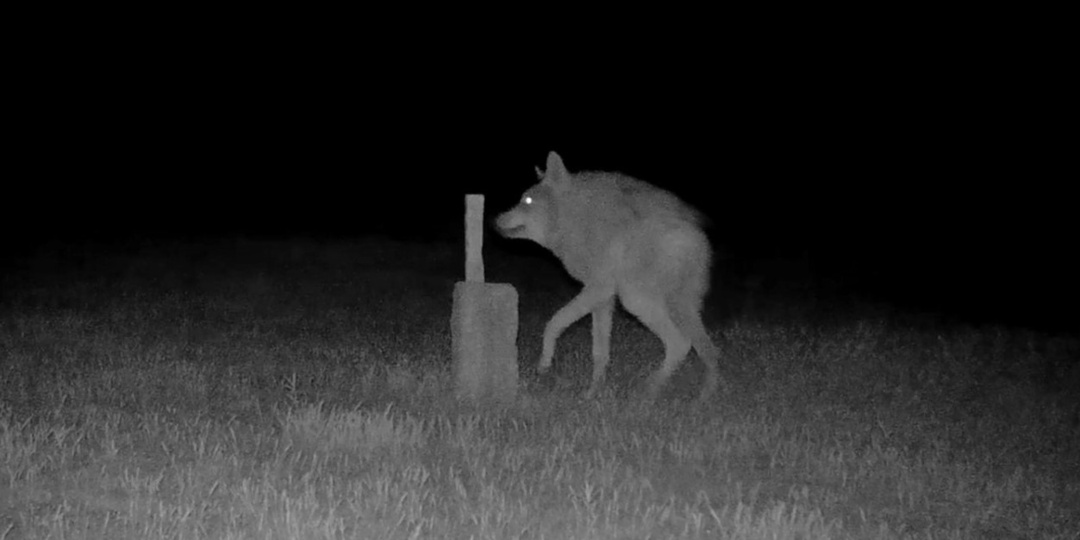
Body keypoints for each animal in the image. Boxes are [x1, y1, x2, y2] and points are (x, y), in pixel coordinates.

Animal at [495, 151, 721, 404]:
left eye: (527, 201)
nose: (495, 220)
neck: (576, 221)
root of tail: (699, 239)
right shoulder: (603, 299)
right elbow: (600, 352)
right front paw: (593, 393)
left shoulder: (598, 289)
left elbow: (553, 323)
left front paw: (544, 364)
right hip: (667, 304)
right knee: (700, 348)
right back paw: (680, 394)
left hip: (636, 300)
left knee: (686, 344)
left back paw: (672, 394)